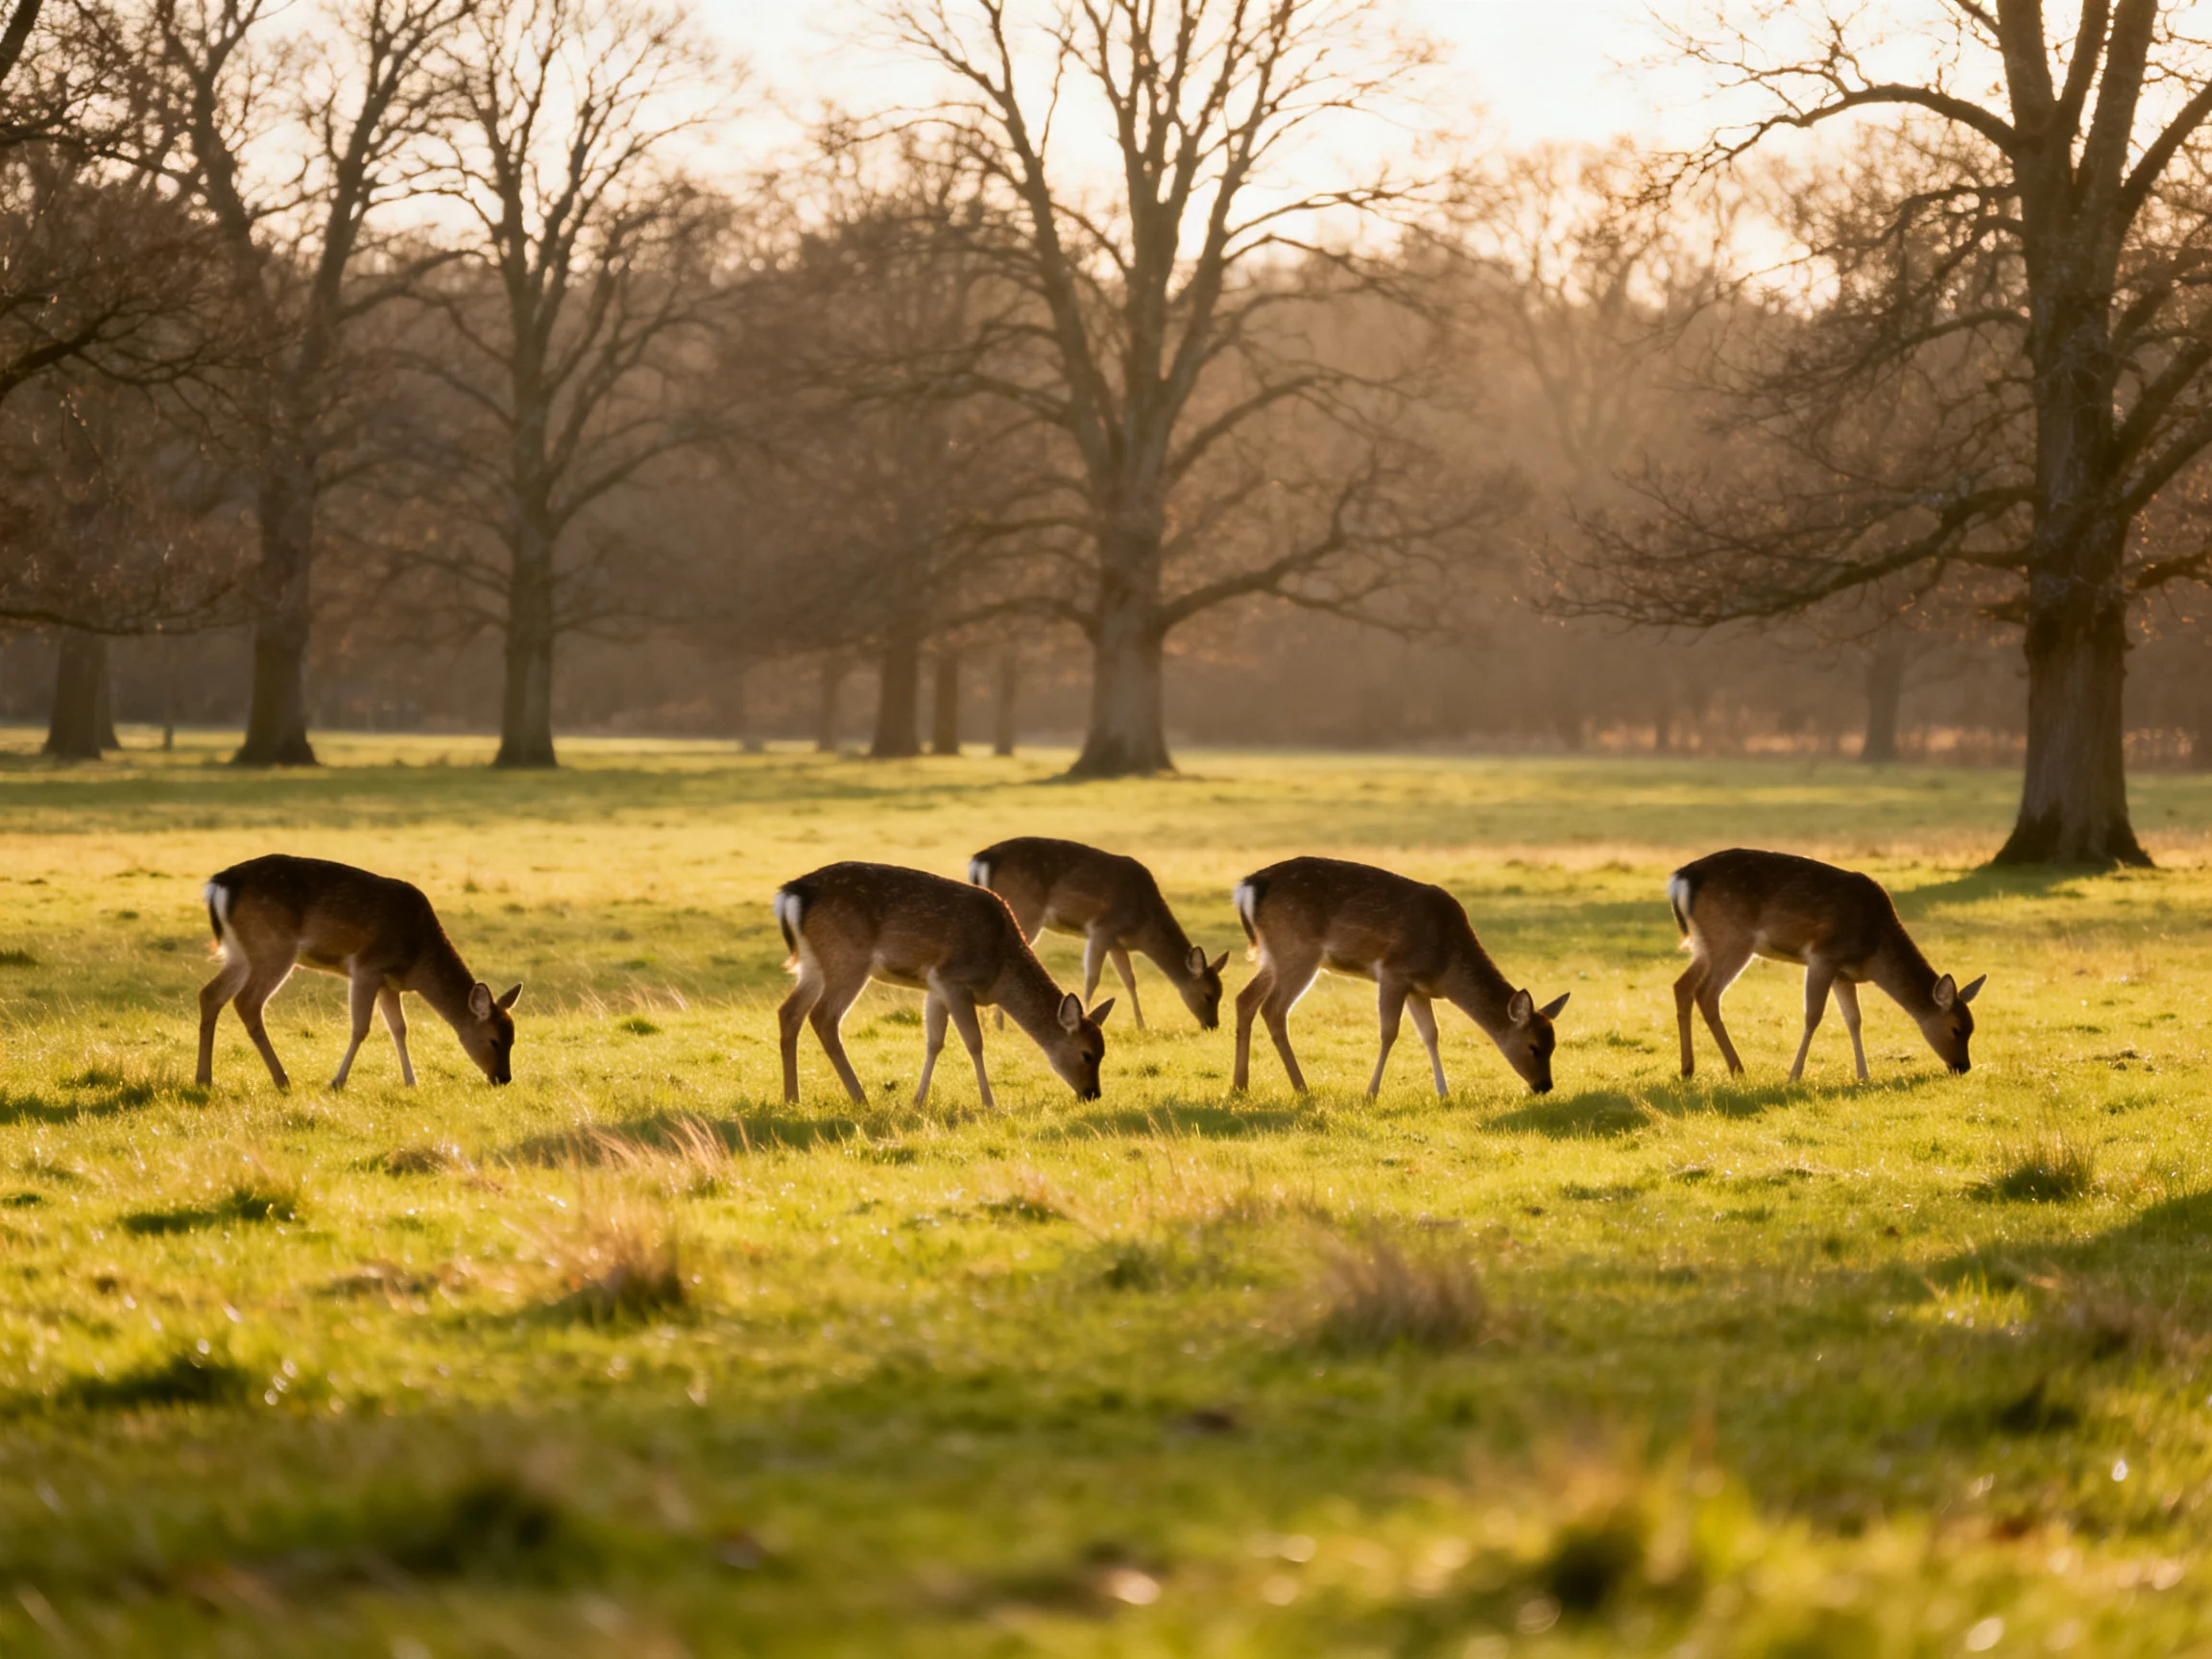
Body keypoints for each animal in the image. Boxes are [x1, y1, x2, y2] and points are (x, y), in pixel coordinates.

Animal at [197, 855, 522, 1090]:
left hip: (240, 952)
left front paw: (411, 1082)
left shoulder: (390, 984)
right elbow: (360, 1028)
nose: (503, 1078)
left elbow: (400, 1029)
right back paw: (282, 1079)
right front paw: (337, 1082)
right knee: (247, 1002)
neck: (417, 959)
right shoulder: (367, 968)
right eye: (493, 1040)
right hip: (272, 947)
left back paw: (204, 1079)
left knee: (210, 994)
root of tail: (218, 885)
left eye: (513, 1039)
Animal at [776, 861, 1114, 1108]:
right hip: (847, 959)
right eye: (1087, 1054)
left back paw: (792, 1098)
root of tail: (790, 895)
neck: (1000, 973)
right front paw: (989, 1103)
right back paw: (860, 1098)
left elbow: (934, 1041)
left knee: (788, 1011)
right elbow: (974, 1042)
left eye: (1103, 1052)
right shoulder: (953, 979)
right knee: (823, 1017)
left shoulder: (935, 987)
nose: (1092, 1094)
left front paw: (918, 1100)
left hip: (814, 964)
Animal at [967, 837, 1229, 1031]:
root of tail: (981, 859)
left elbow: (1129, 979)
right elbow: (1092, 979)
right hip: (1023, 911)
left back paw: (988, 1023)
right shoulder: (1101, 930)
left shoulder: (1117, 943)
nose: (1212, 1025)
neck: (1143, 927)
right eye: (1208, 994)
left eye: (1221, 993)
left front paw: (1141, 1025)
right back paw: (998, 1024)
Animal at [1230, 857, 1570, 1097]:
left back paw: (1240, 1085)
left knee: (1244, 998)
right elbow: (1389, 1032)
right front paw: (1371, 1093)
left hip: (1274, 955)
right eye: (1533, 1047)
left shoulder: (1418, 988)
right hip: (1298, 951)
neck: (1446, 967)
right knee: (1273, 1009)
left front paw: (1443, 1092)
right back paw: (1302, 1088)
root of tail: (1247, 887)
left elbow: (1431, 1034)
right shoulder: (1394, 972)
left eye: (1554, 1045)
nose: (1545, 1085)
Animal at [1668, 848, 1986, 1082]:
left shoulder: (1844, 975)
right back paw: (1737, 1068)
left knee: (1682, 985)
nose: (1963, 1066)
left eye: (1973, 1028)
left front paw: (1864, 1076)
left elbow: (1854, 1020)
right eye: (1957, 1028)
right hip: (1731, 939)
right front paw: (1794, 1075)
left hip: (1705, 944)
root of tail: (1681, 879)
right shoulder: (1823, 956)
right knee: (1707, 993)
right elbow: (1813, 1015)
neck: (1873, 952)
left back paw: (1688, 1069)